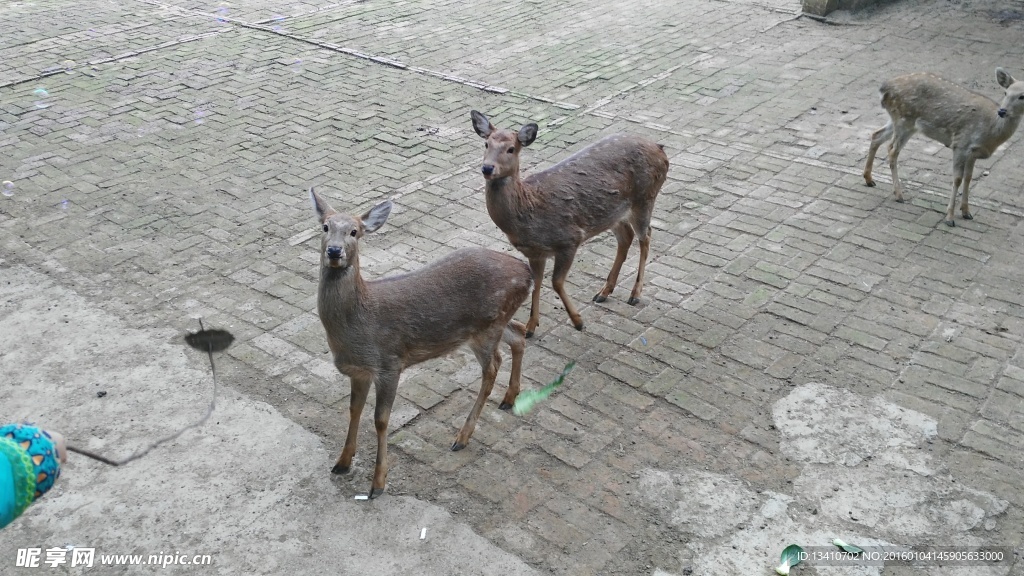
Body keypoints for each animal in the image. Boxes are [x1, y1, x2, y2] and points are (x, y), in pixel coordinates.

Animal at [309, 186, 532, 496]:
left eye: (354, 232)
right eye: (325, 227)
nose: (334, 251)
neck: (358, 326)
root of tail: (528, 273)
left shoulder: (390, 362)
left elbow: (380, 419)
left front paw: (378, 483)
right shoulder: (359, 371)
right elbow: (354, 410)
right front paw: (342, 462)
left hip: (486, 329)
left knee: (493, 367)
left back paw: (462, 437)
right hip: (493, 324)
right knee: (520, 334)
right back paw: (509, 398)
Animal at [471, 109, 671, 336]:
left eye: (511, 149)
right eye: (486, 144)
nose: (487, 168)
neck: (528, 212)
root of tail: (660, 149)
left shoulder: (569, 238)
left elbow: (556, 282)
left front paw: (578, 321)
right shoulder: (535, 253)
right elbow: (536, 283)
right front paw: (530, 327)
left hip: (645, 197)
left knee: (646, 236)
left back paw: (635, 294)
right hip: (614, 214)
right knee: (626, 237)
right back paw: (604, 292)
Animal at [864, 68, 1024, 225]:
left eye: (1022, 96)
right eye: (1005, 92)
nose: (1002, 111)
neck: (990, 132)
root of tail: (884, 88)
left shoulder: (972, 153)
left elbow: (968, 178)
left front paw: (966, 212)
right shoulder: (960, 143)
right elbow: (957, 179)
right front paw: (950, 217)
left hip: (898, 120)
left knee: (876, 135)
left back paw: (869, 179)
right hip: (904, 120)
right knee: (892, 150)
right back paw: (898, 194)